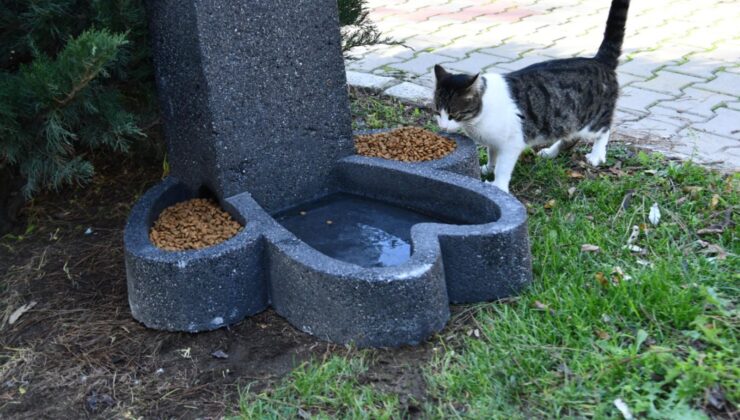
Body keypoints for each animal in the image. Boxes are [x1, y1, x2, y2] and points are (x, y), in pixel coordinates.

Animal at [434, 0, 632, 194]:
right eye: (437, 112)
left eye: (453, 114)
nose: (443, 127)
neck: (478, 119)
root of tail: (599, 61)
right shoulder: (494, 143)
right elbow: (492, 156)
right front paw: (487, 168)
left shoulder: (511, 143)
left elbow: (502, 167)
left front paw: (498, 185)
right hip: (569, 120)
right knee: (571, 136)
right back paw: (550, 152)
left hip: (592, 120)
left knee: (604, 129)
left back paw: (597, 155)